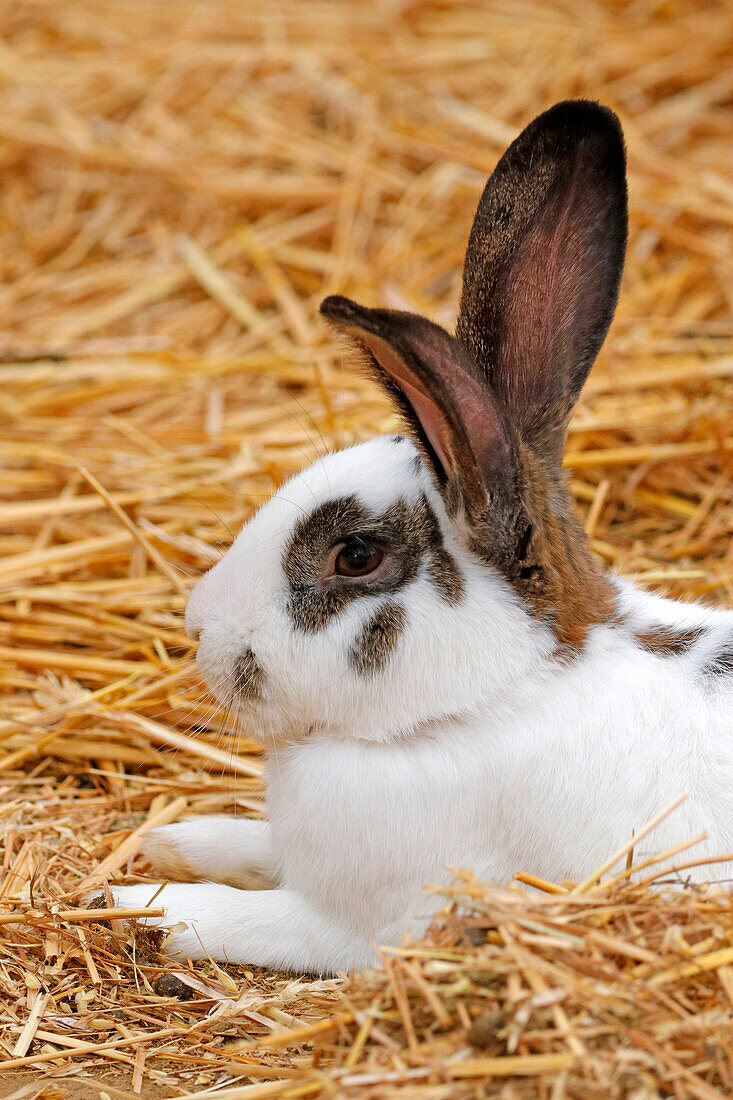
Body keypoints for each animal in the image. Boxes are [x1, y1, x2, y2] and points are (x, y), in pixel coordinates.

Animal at [108, 103, 730, 976]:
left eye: (355, 556)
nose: (198, 623)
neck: (498, 696)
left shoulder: (365, 924)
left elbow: (251, 919)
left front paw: (138, 901)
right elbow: (256, 847)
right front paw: (179, 838)